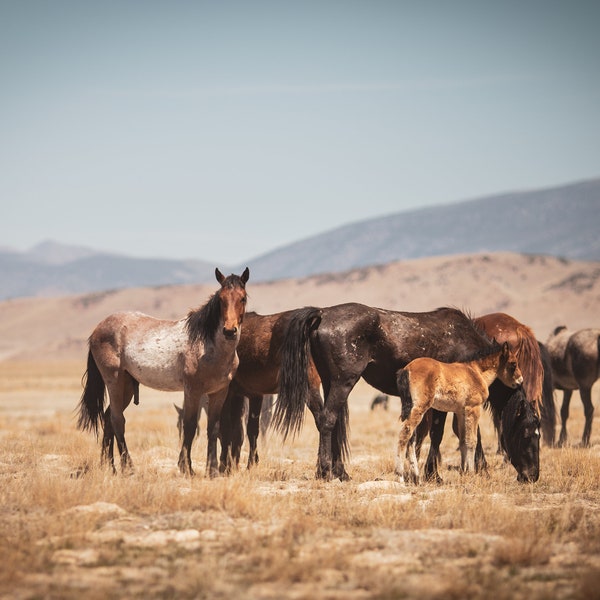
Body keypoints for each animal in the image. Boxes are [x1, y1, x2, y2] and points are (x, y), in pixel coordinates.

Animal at [78, 268, 251, 478]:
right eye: (221, 299)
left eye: (242, 298)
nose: (229, 331)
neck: (208, 346)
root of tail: (98, 329)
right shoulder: (192, 390)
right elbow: (190, 426)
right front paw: (186, 468)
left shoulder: (219, 392)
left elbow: (213, 428)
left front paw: (212, 470)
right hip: (115, 381)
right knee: (117, 420)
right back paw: (128, 468)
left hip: (127, 386)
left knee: (108, 418)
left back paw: (110, 467)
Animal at [396, 340, 524, 486]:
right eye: (513, 363)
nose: (520, 381)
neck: (476, 372)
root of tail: (406, 369)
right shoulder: (473, 409)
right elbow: (472, 441)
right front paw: (472, 473)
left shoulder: (461, 412)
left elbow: (463, 441)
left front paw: (464, 472)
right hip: (420, 407)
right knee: (405, 434)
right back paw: (400, 476)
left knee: (411, 438)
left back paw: (417, 478)